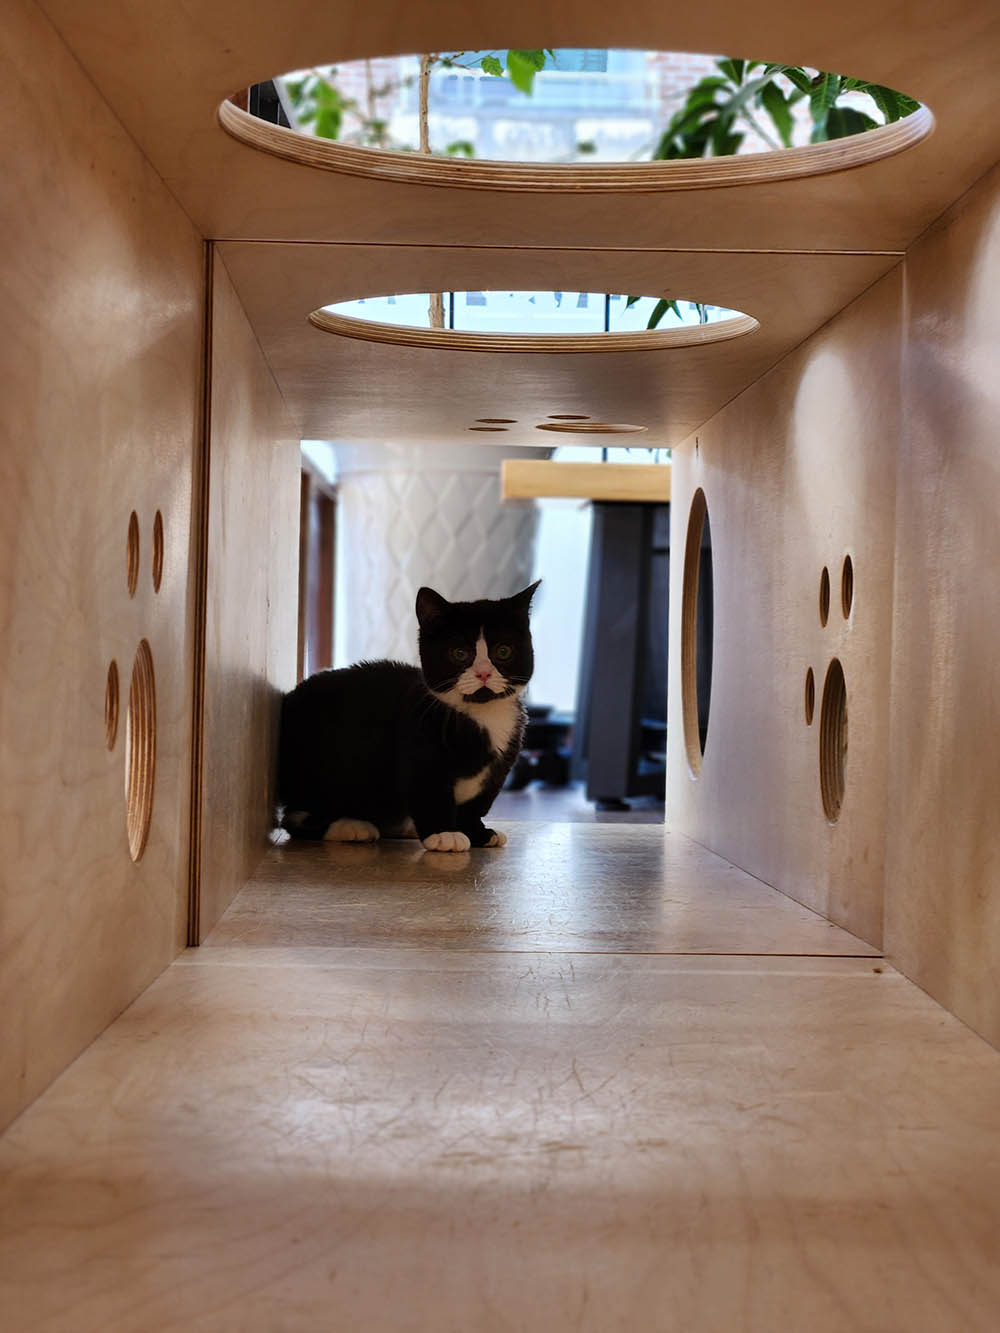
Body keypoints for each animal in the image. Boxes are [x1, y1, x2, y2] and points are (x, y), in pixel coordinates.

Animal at [277, 581, 540, 852]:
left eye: (504, 651)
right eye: (459, 653)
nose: (484, 674)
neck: (483, 716)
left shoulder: (498, 769)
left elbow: (475, 805)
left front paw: (477, 832)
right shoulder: (419, 747)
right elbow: (429, 792)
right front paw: (443, 833)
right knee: (294, 816)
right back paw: (350, 826)